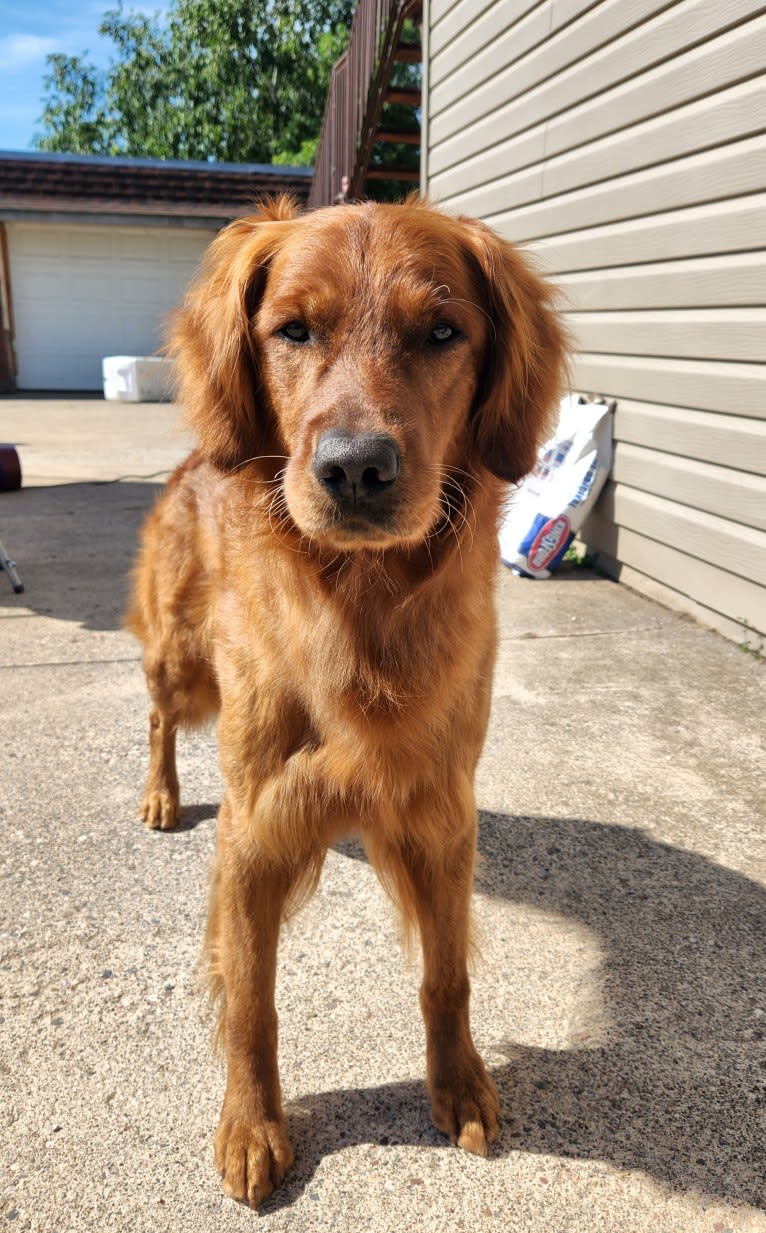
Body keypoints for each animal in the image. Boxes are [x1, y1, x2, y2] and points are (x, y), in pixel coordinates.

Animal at [127, 197, 567, 1208]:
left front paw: (458, 1083)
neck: (362, 610)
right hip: (180, 660)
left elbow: (447, 975)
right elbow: (251, 1000)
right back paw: (161, 793)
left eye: (442, 332)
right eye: (293, 330)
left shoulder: (441, 812)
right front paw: (253, 1125)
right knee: (160, 714)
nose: (356, 469)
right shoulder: (254, 823)